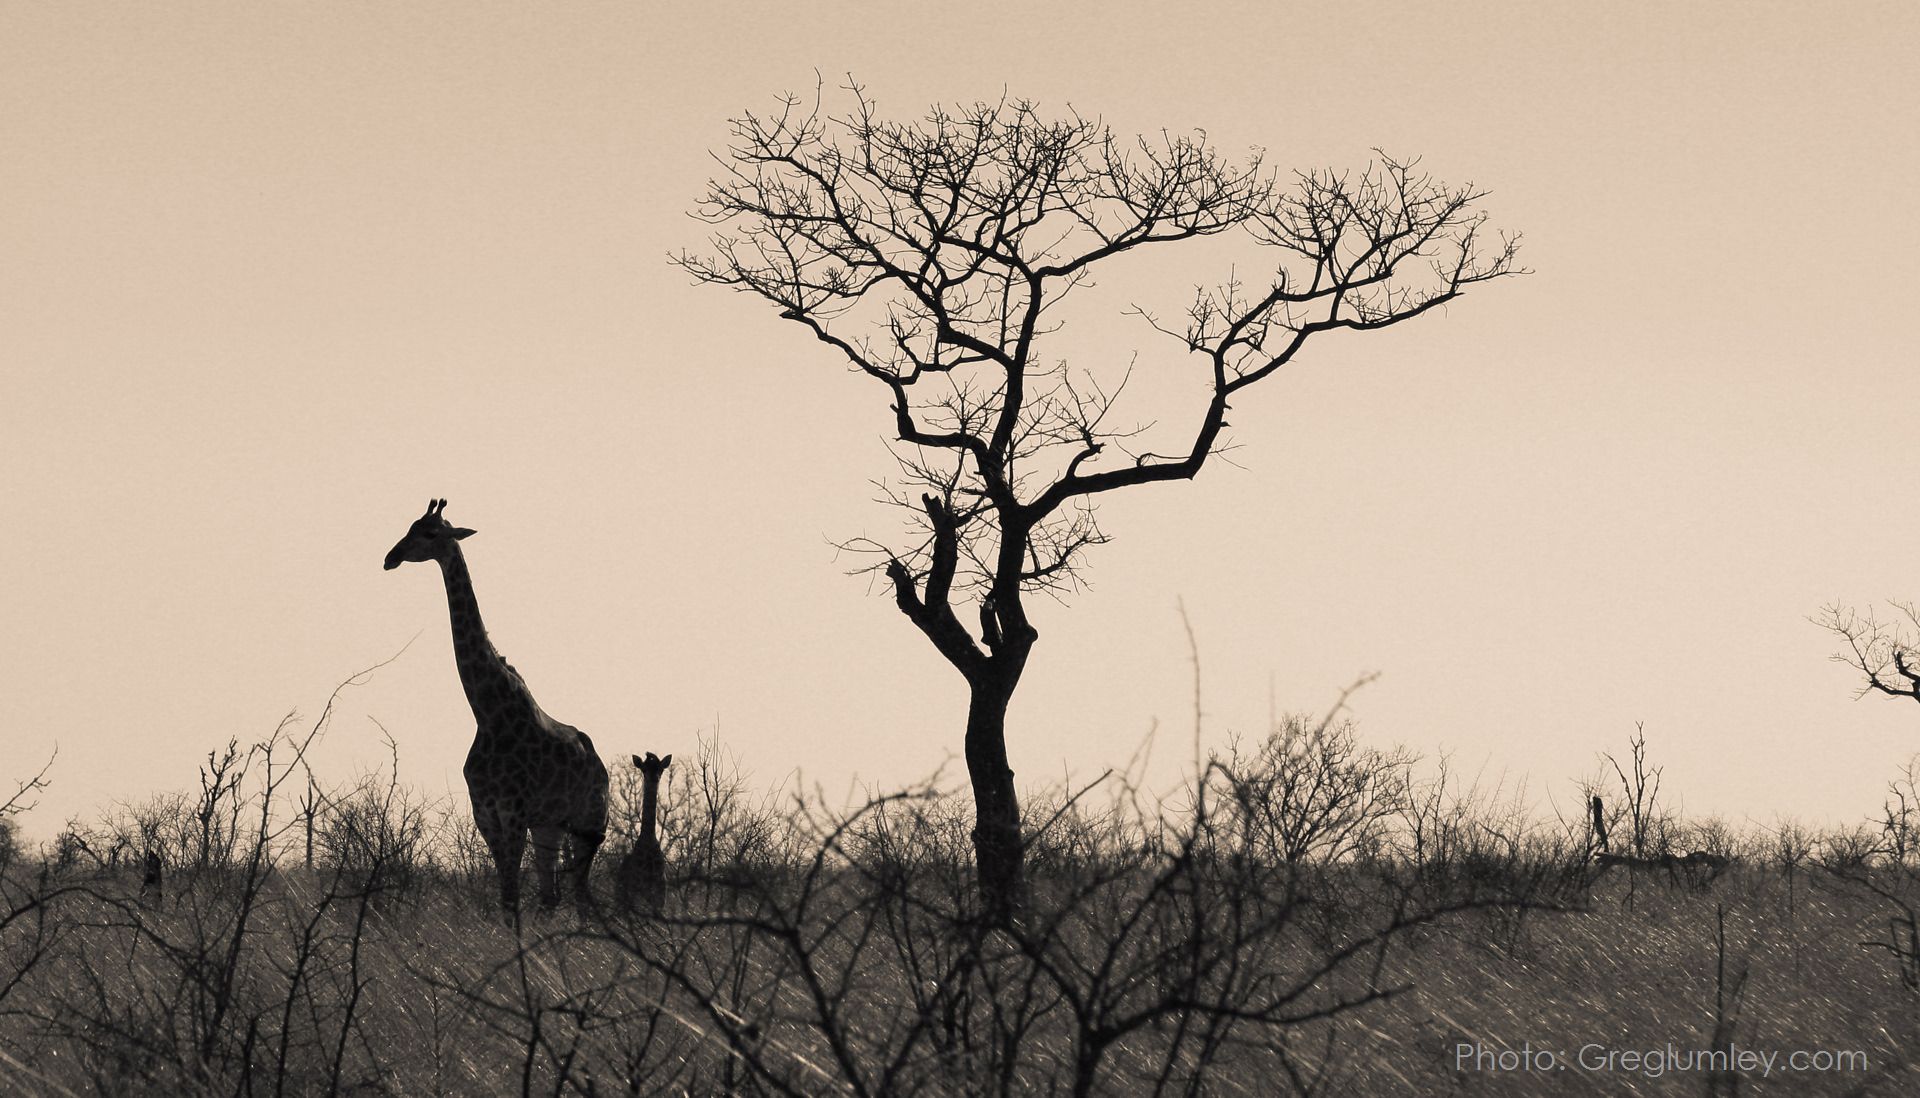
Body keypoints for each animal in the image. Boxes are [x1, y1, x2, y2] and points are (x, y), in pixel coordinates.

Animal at [384, 499, 609, 913]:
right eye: (409, 527)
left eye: (431, 533)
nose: (390, 557)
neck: (488, 713)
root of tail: (601, 764)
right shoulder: (486, 815)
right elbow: (508, 898)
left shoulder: (514, 812)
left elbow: (512, 897)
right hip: (550, 826)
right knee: (553, 897)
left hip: (589, 823)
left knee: (583, 897)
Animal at [615, 752, 671, 912]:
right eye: (644, 769)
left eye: (661, 769)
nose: (655, 778)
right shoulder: (636, 891)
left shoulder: (661, 893)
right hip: (621, 896)